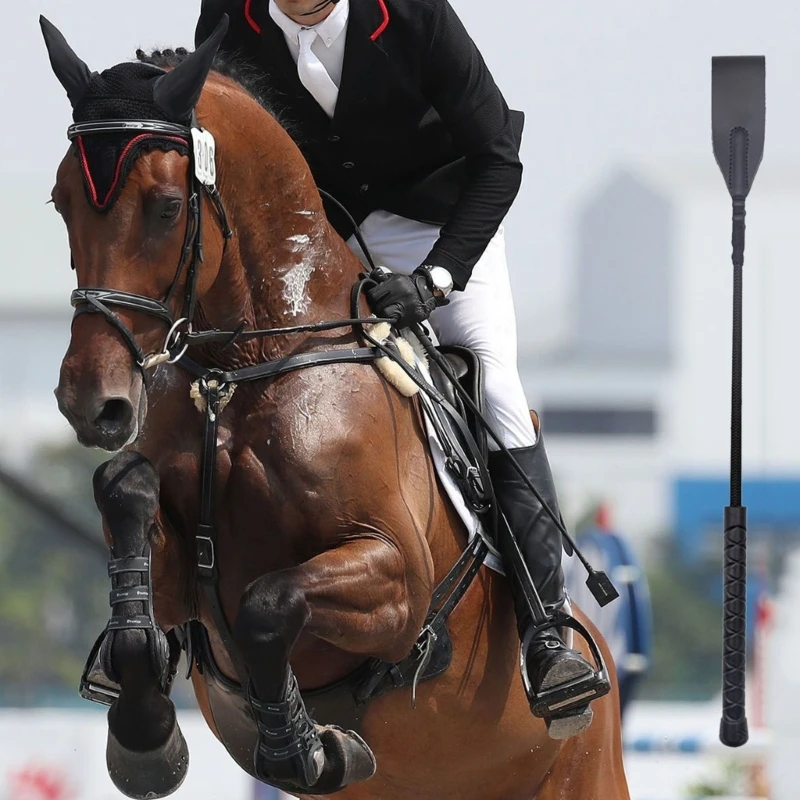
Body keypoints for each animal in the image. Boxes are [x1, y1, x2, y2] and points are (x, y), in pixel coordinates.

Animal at [40, 14, 632, 800]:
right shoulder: (178, 583)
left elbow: (269, 604)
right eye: (61, 201)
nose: (91, 401)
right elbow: (125, 497)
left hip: (583, 769)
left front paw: (303, 745)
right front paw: (145, 734)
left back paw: (559, 666)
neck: (246, 366)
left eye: (166, 208)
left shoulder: (397, 583)